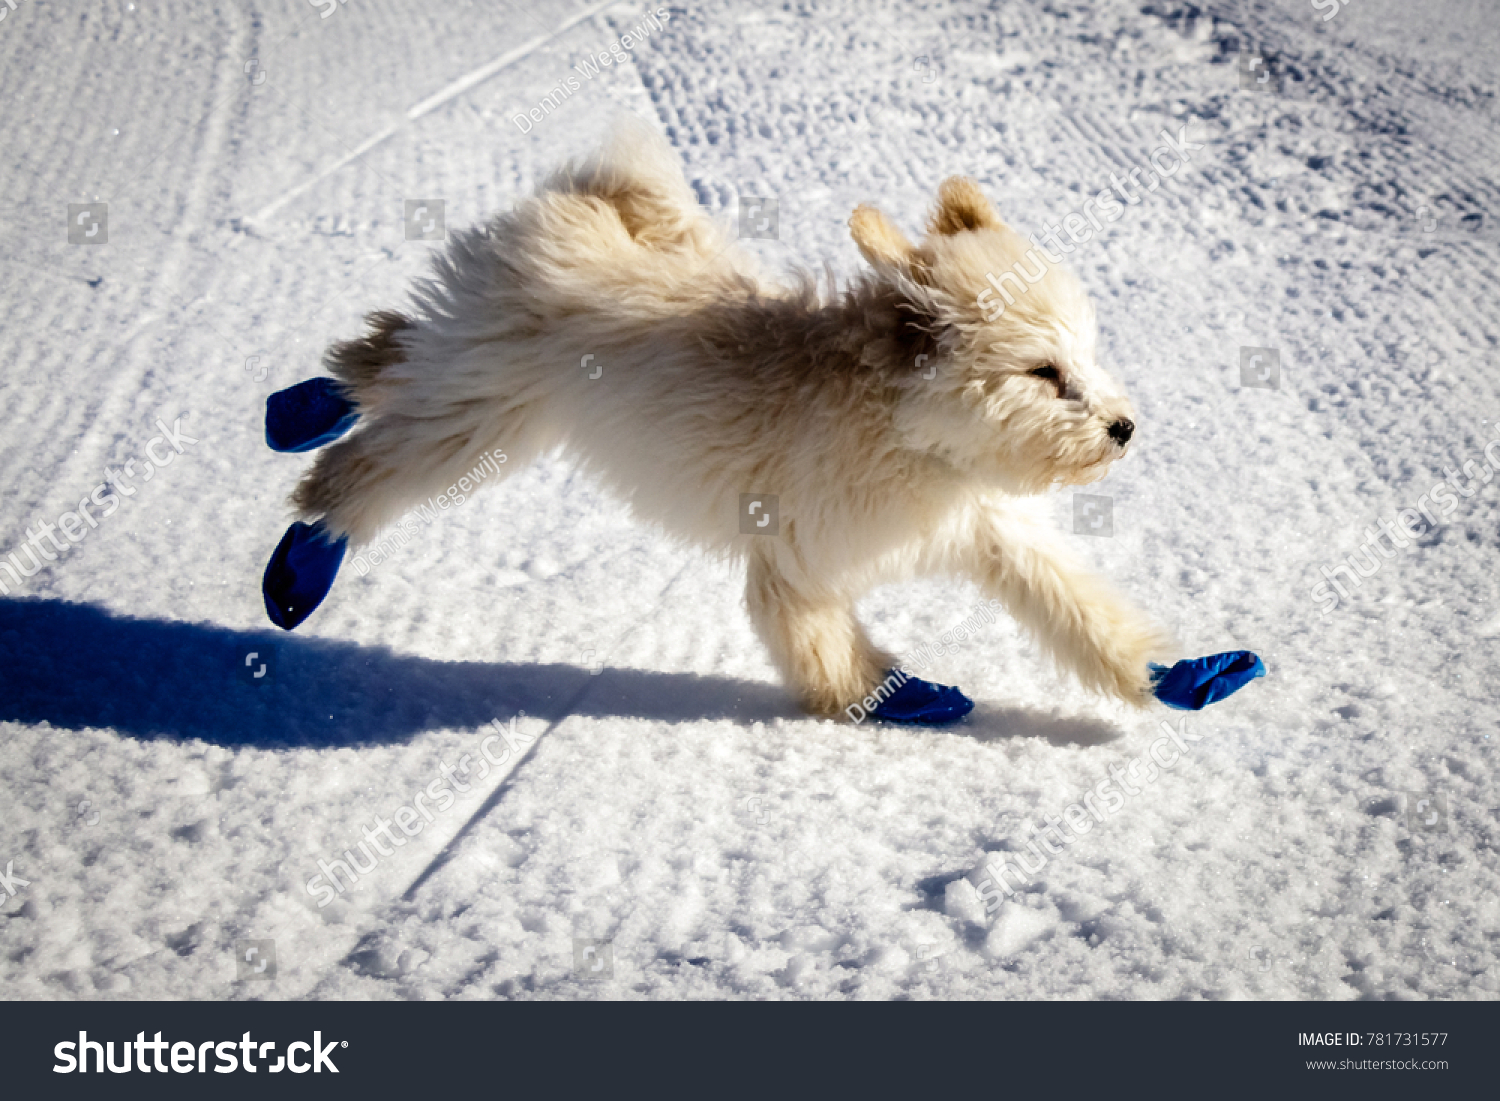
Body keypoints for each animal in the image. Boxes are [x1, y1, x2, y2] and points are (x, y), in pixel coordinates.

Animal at [292, 123, 1170, 726]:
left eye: (1085, 355)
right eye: (1043, 373)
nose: (1125, 427)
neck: (906, 427)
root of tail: (579, 203)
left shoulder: (991, 528)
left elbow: (1074, 605)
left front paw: (1169, 674)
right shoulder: (796, 560)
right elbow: (826, 651)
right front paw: (898, 697)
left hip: (470, 377)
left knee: (386, 351)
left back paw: (304, 409)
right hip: (480, 410)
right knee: (368, 458)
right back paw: (305, 552)